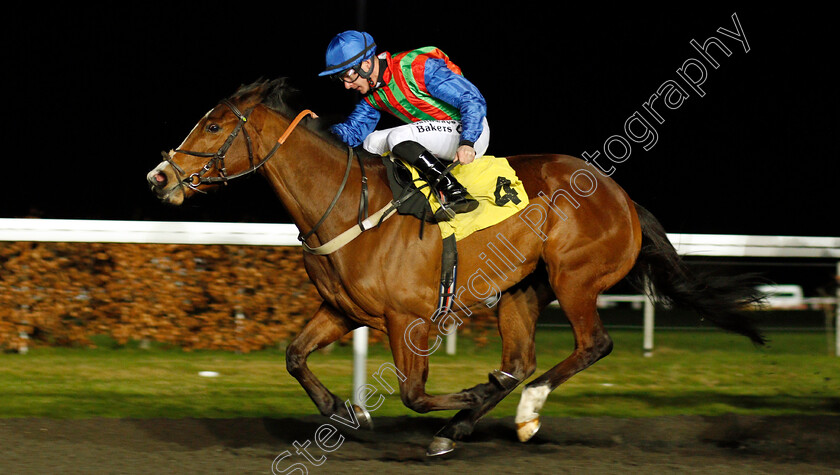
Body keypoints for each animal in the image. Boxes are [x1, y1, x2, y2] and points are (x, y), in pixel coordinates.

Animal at [146, 79, 768, 458]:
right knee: (521, 360)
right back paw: (464, 426)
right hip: (521, 289)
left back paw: (524, 411)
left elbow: (414, 393)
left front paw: (462, 397)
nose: (159, 177)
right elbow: (295, 356)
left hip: (574, 279)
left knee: (590, 345)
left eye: (212, 126)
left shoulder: (409, 319)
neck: (346, 205)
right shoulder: (344, 310)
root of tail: (622, 196)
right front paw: (343, 410)